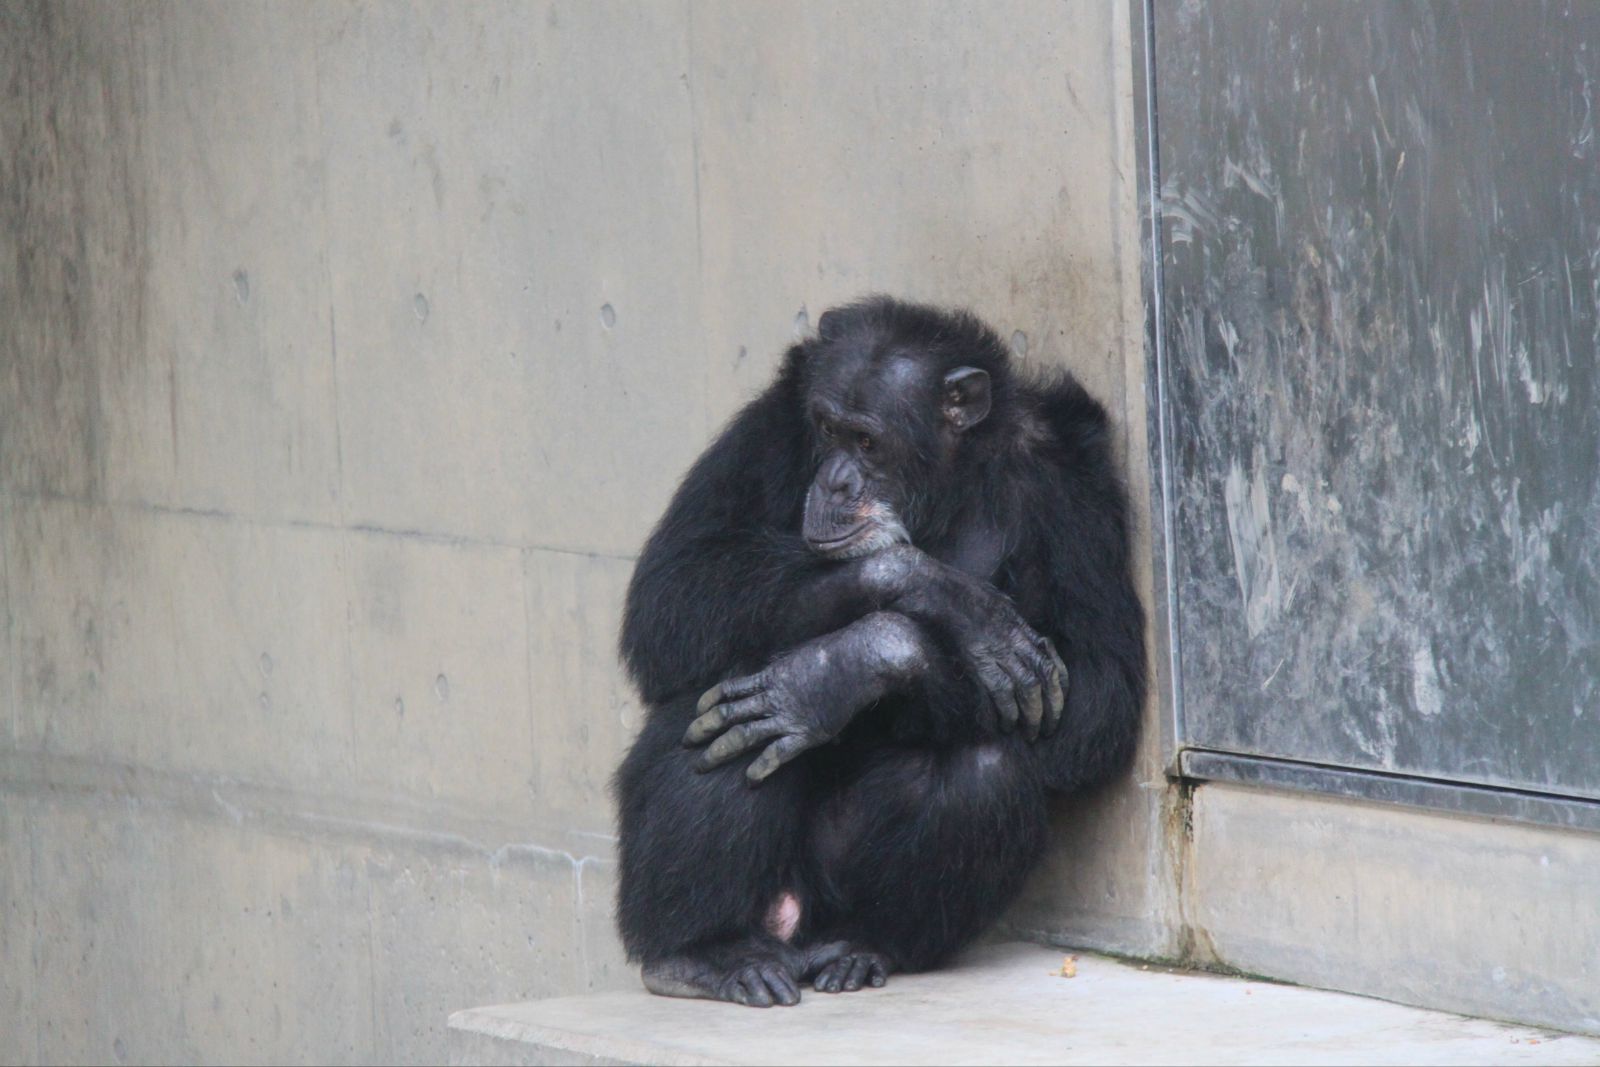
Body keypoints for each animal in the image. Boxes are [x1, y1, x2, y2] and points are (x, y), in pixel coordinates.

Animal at [608, 295, 1139, 1004]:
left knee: (986, 770)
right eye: (826, 429)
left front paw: (830, 676)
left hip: (830, 898)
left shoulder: (1075, 483)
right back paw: (704, 952)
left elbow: (1100, 694)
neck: (948, 482)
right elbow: (673, 590)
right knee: (713, 709)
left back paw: (861, 945)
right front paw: (929, 603)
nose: (834, 480)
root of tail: (795, 928)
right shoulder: (770, 424)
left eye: (866, 441)